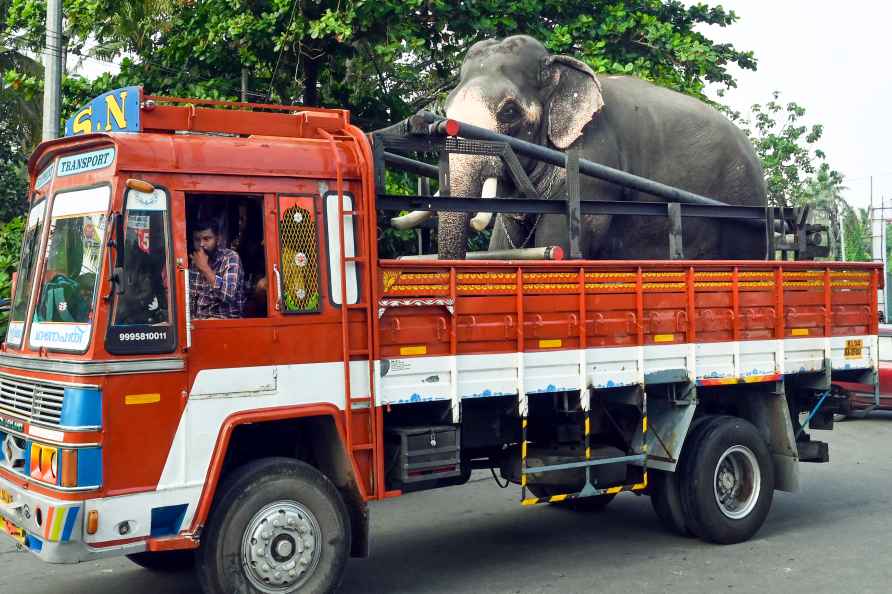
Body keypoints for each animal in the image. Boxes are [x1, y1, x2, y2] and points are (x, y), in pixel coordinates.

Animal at [404, 35, 768, 260]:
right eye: (447, 109)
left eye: (509, 112)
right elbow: (503, 244)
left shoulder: (593, 162)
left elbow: (558, 244)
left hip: (743, 210)